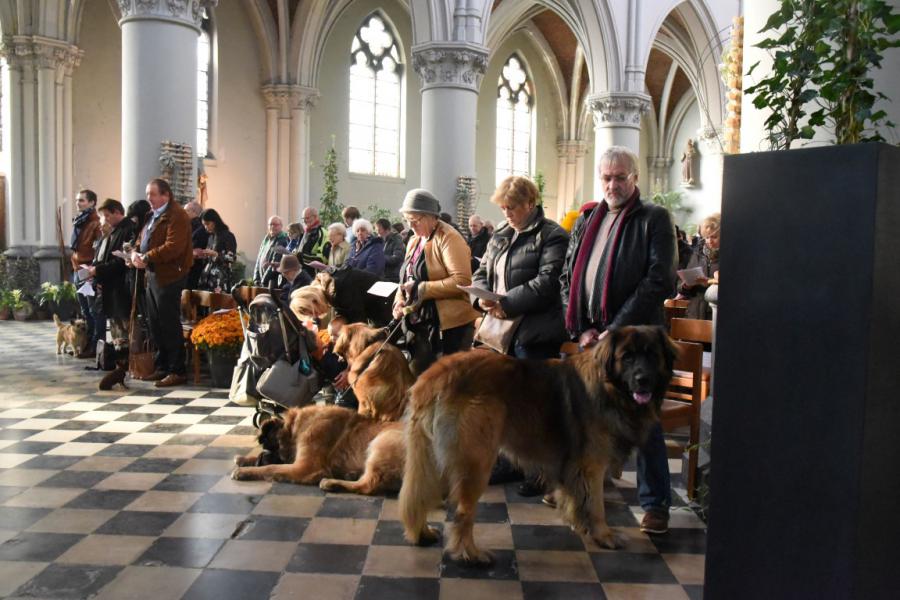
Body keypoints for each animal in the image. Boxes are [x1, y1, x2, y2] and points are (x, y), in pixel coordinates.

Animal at [232, 404, 404, 496]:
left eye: (270, 447)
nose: (260, 458)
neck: (295, 427)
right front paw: (244, 459)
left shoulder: (305, 467)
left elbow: (271, 468)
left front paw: (245, 471)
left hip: (381, 441)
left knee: (369, 485)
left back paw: (332, 483)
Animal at [400, 324, 676, 564]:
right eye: (626, 357)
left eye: (652, 355)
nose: (643, 379)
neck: (609, 387)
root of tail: (435, 374)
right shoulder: (592, 463)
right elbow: (595, 504)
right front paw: (604, 535)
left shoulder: (573, 463)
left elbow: (575, 496)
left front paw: (578, 523)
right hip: (476, 460)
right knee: (462, 512)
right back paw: (470, 554)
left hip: (430, 454)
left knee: (417, 495)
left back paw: (422, 534)